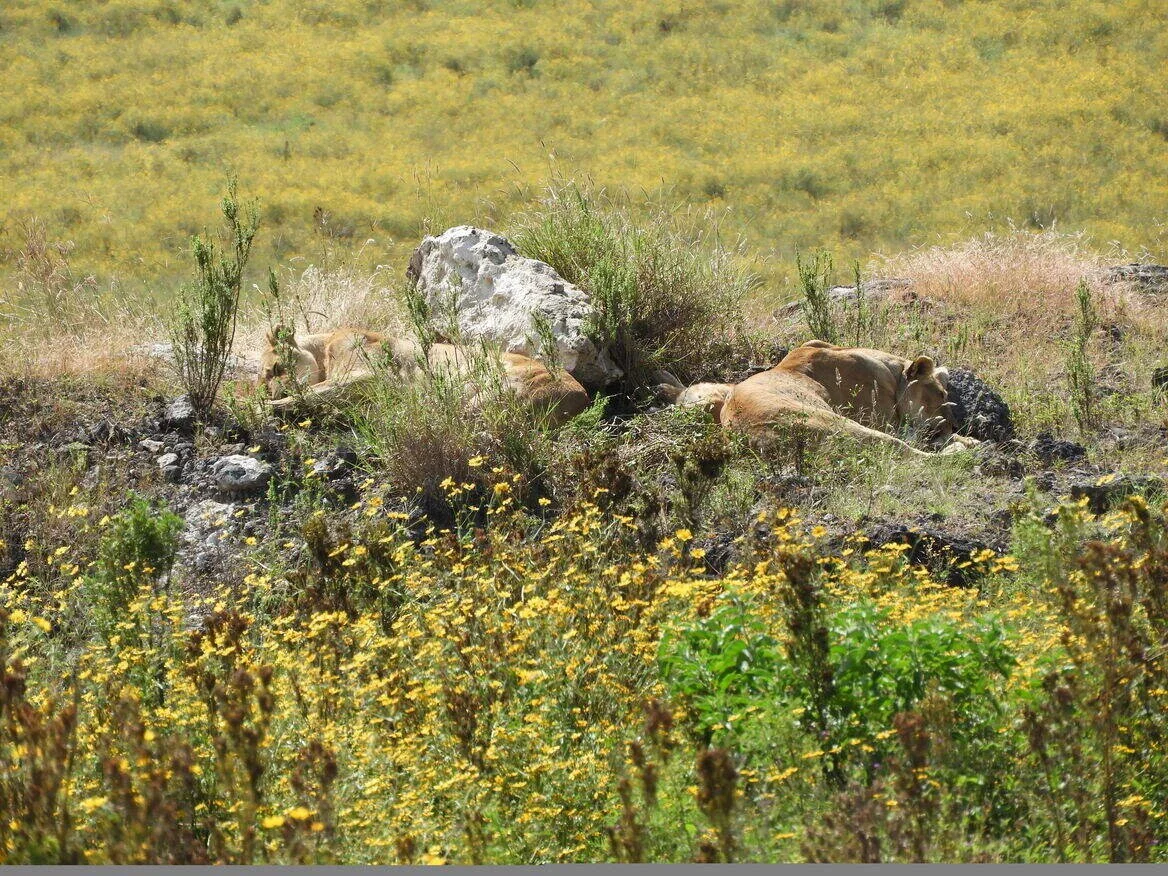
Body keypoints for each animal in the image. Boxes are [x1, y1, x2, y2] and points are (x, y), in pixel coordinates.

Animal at [258, 325, 591, 427]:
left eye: (275, 369)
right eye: (263, 381)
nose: (271, 392)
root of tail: (582, 398)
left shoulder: (369, 374)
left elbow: (310, 392)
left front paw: (268, 407)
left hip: (491, 391)